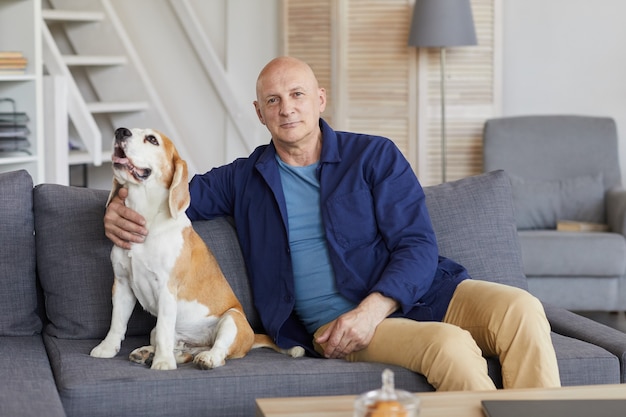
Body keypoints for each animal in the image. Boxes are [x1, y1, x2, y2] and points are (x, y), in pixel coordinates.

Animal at [89, 127, 302, 370]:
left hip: (231, 319)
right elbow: (117, 323)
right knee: (180, 350)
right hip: (166, 333)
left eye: (152, 139)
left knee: (218, 351)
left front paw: (163, 363)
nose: (120, 131)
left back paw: (205, 358)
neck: (146, 215)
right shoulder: (122, 284)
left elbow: (164, 330)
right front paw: (107, 348)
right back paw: (149, 353)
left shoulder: (166, 290)